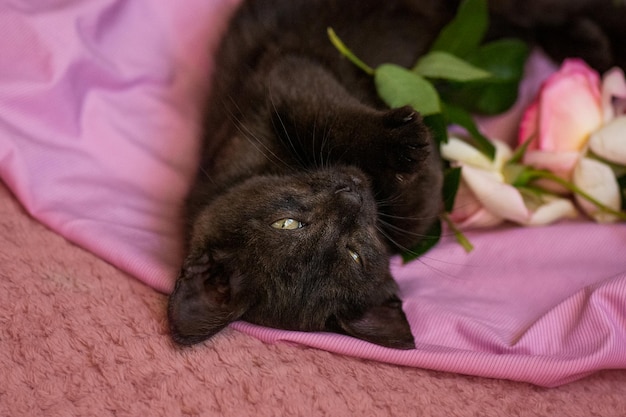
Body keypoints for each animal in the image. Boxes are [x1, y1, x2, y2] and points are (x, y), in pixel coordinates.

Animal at [167, 0, 624, 348]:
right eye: (355, 251)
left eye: (287, 223)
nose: (352, 194)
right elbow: (419, 204)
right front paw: (422, 150)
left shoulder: (285, 82)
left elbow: (331, 117)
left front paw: (400, 141)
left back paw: (596, 50)